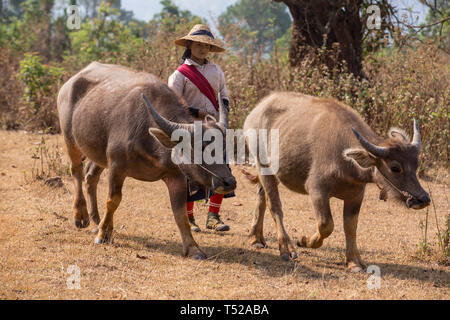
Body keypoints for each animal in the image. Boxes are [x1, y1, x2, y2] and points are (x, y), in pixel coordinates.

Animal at [56, 61, 236, 258]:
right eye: (201, 148)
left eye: (224, 147)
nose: (229, 182)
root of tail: (69, 84)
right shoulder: (117, 167)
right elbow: (113, 201)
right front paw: (103, 235)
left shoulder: (176, 176)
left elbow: (180, 213)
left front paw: (193, 248)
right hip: (70, 139)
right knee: (76, 172)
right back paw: (81, 216)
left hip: (99, 153)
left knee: (90, 177)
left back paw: (97, 221)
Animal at [244, 91, 430, 272]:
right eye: (395, 168)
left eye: (416, 164)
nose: (423, 199)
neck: (346, 161)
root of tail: (257, 110)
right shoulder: (317, 190)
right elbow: (326, 224)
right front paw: (304, 241)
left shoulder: (356, 195)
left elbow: (350, 226)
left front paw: (354, 262)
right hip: (263, 166)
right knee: (274, 205)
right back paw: (286, 248)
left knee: (261, 196)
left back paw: (256, 238)